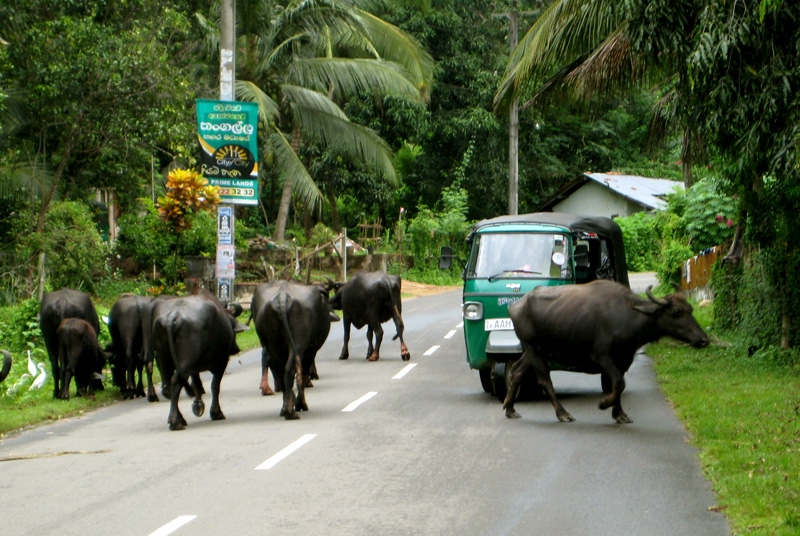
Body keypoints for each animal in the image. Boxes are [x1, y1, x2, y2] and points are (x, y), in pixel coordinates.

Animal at [149, 288, 247, 432]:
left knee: (169, 386)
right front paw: (216, 412)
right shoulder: (222, 362)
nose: (235, 349)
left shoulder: (194, 368)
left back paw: (180, 418)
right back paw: (175, 421)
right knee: (176, 382)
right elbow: (215, 386)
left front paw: (198, 405)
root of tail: (173, 314)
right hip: (187, 361)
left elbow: (196, 384)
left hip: (164, 359)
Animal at [252, 278, 336, 420]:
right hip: (299, 343)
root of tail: (282, 295)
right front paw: (301, 403)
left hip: (273, 345)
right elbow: (303, 373)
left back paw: (285, 407)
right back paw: (293, 409)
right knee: (292, 371)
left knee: (280, 371)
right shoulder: (311, 350)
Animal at [504, 282, 708, 426]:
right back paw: (563, 413)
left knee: (517, 371)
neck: (628, 316)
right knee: (544, 379)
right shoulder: (603, 356)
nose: (704, 339)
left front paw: (619, 413)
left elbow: (618, 384)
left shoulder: (624, 359)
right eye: (677, 312)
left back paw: (509, 408)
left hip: (536, 351)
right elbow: (618, 382)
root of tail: (515, 306)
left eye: (691, 309)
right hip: (534, 349)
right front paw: (604, 404)